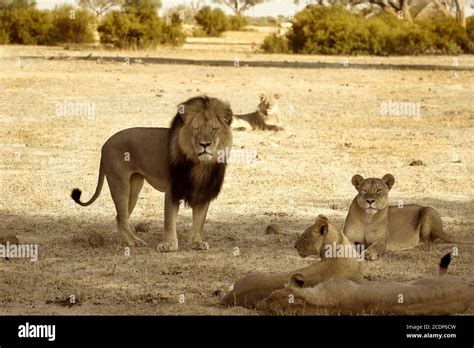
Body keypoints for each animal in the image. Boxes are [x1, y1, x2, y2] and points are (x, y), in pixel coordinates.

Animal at [71, 96, 233, 251]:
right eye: (196, 129)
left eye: (213, 129)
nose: (204, 144)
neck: (199, 163)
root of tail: (104, 145)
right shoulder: (172, 190)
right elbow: (169, 220)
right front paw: (169, 245)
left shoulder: (204, 190)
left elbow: (199, 221)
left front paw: (196, 243)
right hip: (120, 184)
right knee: (121, 218)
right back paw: (135, 241)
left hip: (134, 188)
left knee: (119, 218)